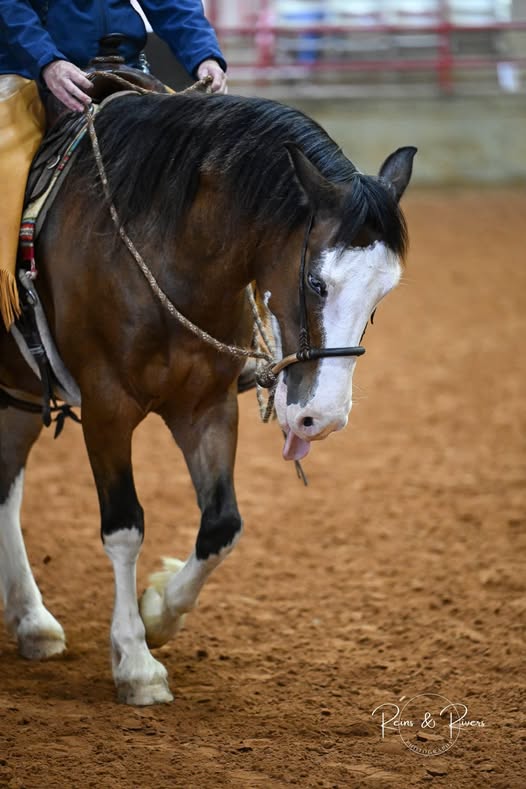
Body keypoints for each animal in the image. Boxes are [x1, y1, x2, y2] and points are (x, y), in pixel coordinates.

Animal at [0, 85, 416, 705]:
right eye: (315, 283)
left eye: (382, 295)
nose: (322, 418)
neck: (163, 248)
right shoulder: (105, 407)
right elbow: (124, 528)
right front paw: (136, 662)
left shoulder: (206, 407)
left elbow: (222, 526)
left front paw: (157, 613)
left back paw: (33, 621)